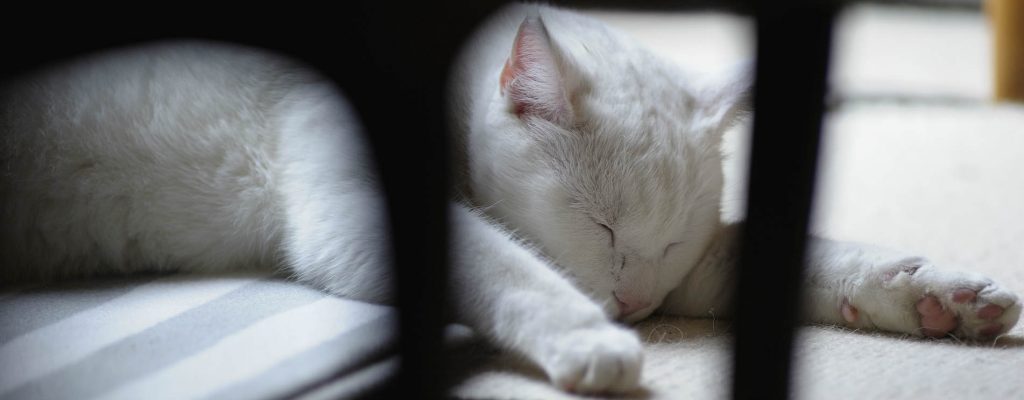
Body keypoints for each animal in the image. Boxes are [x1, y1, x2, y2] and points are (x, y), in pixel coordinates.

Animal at [4, 3, 1019, 396]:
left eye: (668, 244)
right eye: (601, 226)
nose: (639, 306)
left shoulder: (698, 273)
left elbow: (795, 251)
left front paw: (937, 293)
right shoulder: (359, 209)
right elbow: (507, 263)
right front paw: (585, 338)